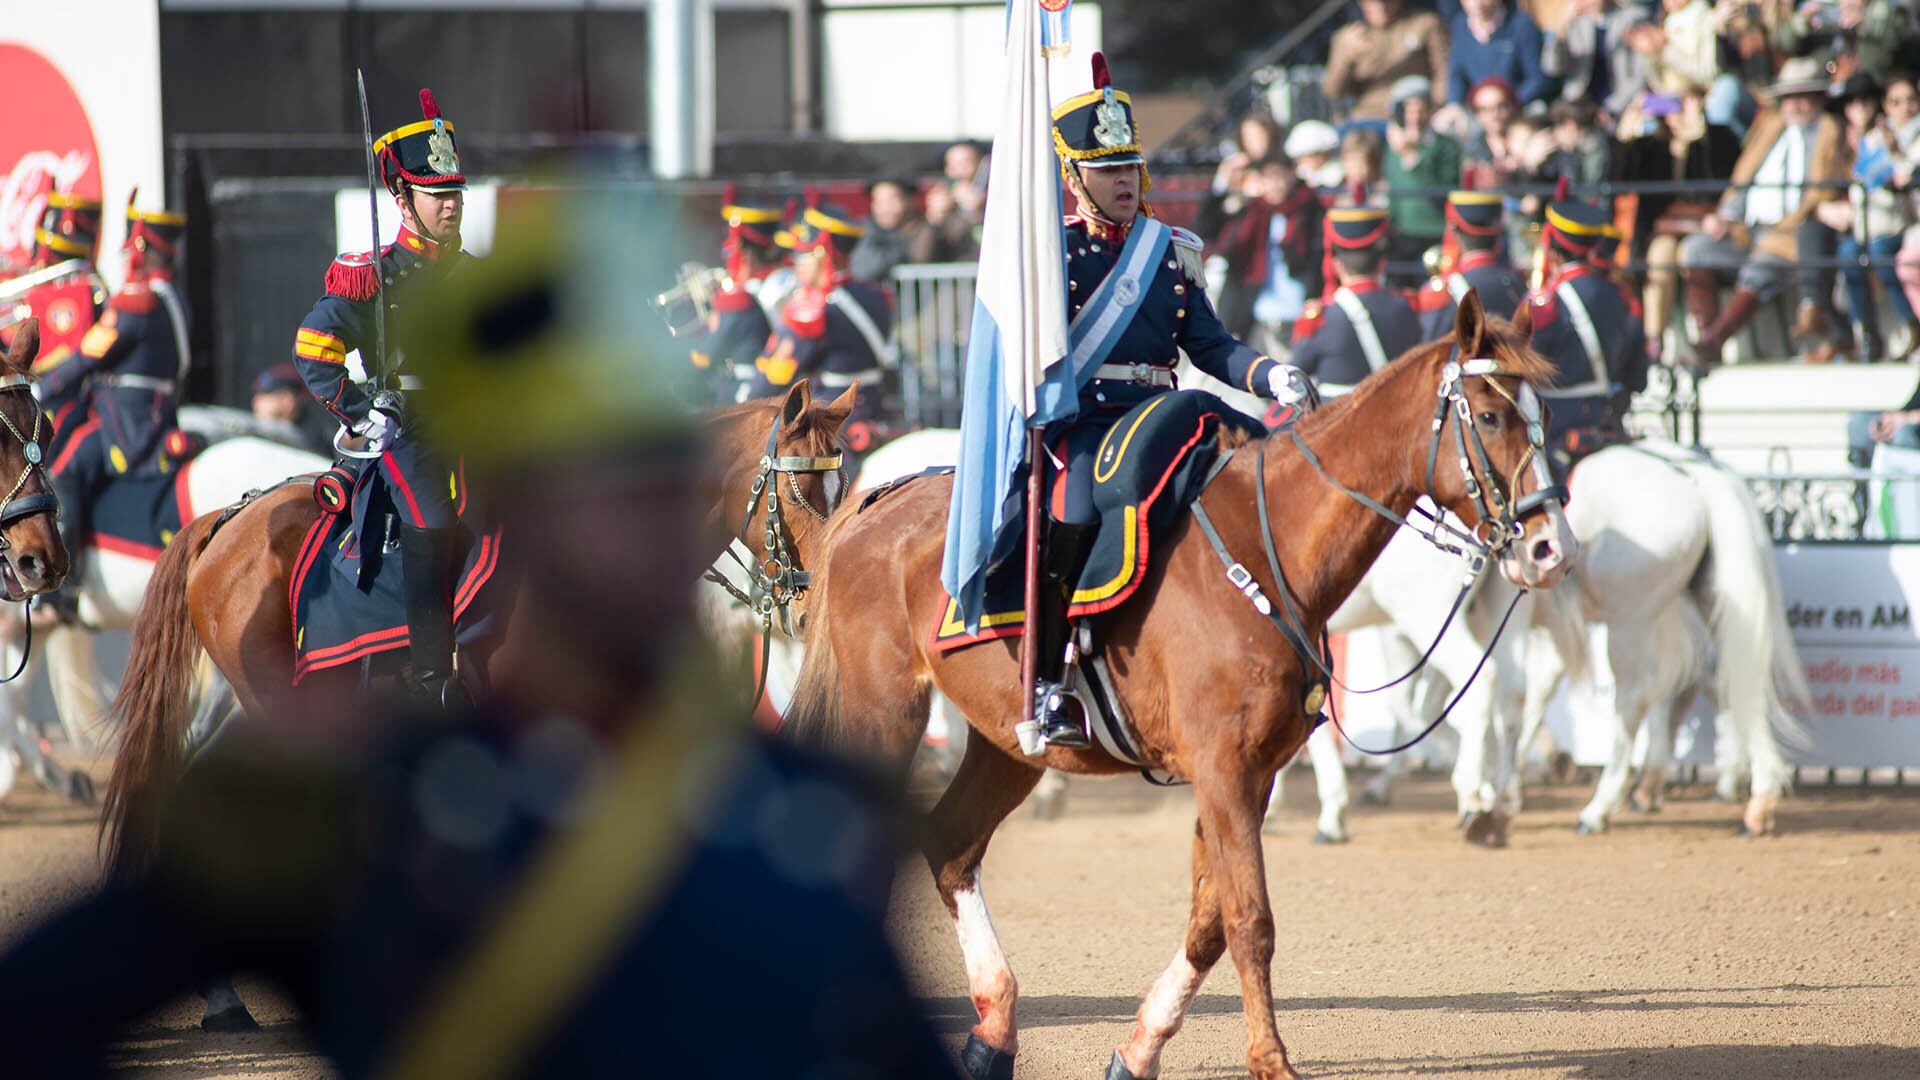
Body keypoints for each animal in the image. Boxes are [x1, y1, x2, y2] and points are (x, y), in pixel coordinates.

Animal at [779, 292, 1574, 1076]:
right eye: (1492, 415)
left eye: (1542, 415)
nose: (1551, 548)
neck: (1265, 547)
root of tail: (875, 502)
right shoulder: (1222, 770)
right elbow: (1250, 920)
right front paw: (1271, 1062)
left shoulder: (1248, 774)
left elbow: (1210, 923)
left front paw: (1138, 1050)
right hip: (884, 716)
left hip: (1006, 742)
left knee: (951, 848)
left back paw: (993, 1032)